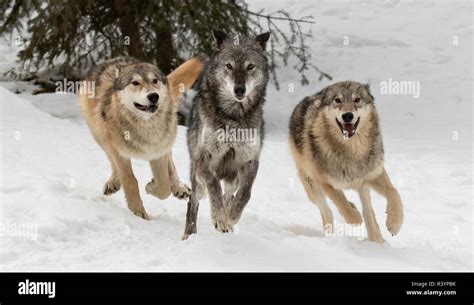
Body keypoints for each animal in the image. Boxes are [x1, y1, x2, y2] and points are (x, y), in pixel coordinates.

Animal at [78, 56, 204, 218]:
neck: (145, 128)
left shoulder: (157, 152)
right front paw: (139, 213)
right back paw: (114, 183)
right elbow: (130, 180)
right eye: (135, 83)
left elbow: (164, 187)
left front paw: (151, 187)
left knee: (170, 163)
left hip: (167, 140)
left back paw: (179, 187)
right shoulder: (119, 152)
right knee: (111, 160)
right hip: (100, 136)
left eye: (155, 81)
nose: (153, 96)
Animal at [181, 29, 270, 239]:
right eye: (229, 66)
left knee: (228, 193)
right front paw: (220, 219)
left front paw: (231, 216)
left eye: (250, 66)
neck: (233, 117)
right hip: (198, 180)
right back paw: (189, 235)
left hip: (232, 178)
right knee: (193, 201)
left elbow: (245, 194)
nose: (240, 89)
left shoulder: (250, 161)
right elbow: (214, 185)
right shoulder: (204, 159)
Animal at [288, 81, 404, 242]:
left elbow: (394, 193)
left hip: (363, 187)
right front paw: (354, 218)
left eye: (357, 100)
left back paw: (377, 240)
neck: (352, 151)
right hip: (312, 187)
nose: (348, 115)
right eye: (337, 100)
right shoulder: (324, 181)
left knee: (369, 214)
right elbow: (340, 201)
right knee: (327, 212)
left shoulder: (373, 174)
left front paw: (394, 223)